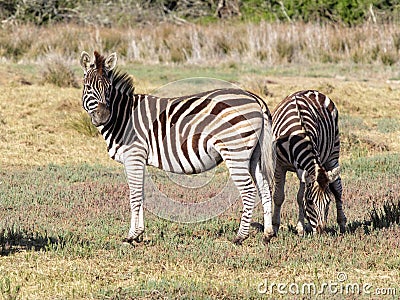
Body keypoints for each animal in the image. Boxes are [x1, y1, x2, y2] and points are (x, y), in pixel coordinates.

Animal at [78, 51, 276, 244]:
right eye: (88, 87)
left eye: (108, 88)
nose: (103, 116)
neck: (123, 117)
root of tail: (254, 98)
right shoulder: (137, 160)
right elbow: (140, 194)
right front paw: (139, 233)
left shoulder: (133, 156)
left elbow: (134, 195)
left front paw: (131, 236)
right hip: (254, 155)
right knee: (265, 188)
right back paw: (268, 234)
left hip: (235, 151)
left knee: (249, 191)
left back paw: (240, 236)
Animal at [264, 89, 346, 241]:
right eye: (310, 202)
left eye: (328, 202)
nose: (321, 232)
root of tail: (313, 91)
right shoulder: (279, 166)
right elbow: (278, 197)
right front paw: (275, 227)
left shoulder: (303, 169)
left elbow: (299, 198)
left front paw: (300, 229)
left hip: (333, 152)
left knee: (337, 188)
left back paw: (342, 224)